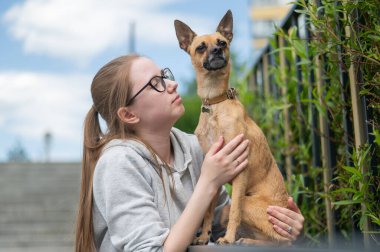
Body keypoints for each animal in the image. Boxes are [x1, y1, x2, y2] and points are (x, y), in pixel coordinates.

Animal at [175, 10, 290, 245]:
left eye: (223, 42)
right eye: (201, 47)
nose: (217, 50)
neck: (215, 104)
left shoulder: (240, 171)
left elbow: (236, 208)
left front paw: (227, 238)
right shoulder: (214, 175)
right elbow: (208, 210)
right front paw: (204, 236)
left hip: (250, 203)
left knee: (284, 241)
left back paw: (245, 240)